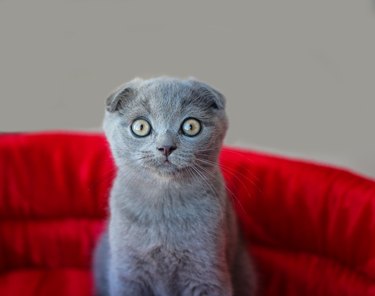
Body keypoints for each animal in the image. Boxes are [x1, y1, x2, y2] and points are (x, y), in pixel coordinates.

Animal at [94, 77, 258, 294]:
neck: (165, 206)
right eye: (140, 127)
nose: (166, 147)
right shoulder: (128, 272)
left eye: (191, 126)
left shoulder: (207, 271)